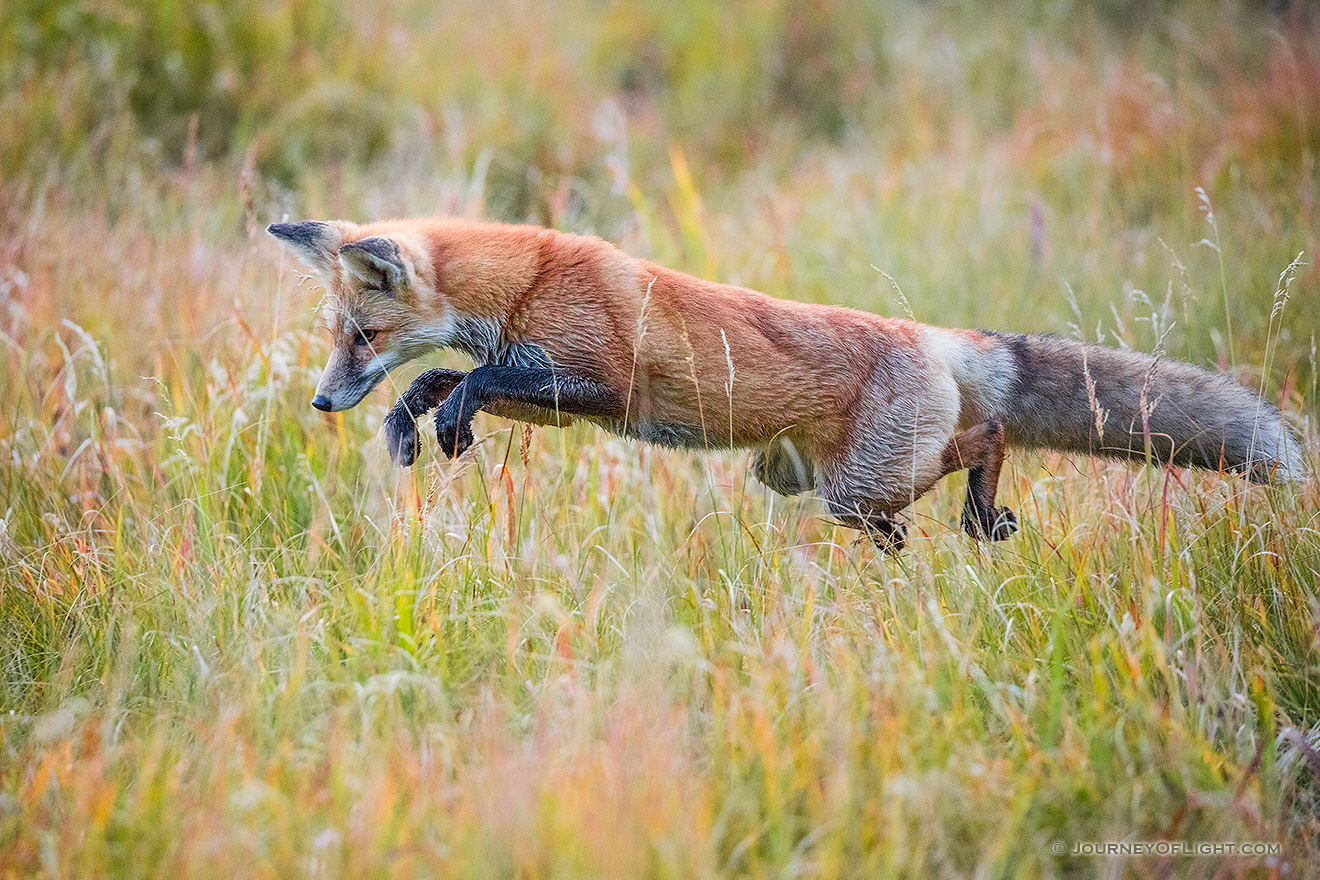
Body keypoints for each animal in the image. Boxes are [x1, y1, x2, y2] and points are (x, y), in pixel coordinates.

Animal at [270, 219, 1309, 551]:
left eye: (362, 337)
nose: (321, 403)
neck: (530, 283)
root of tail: (935, 337)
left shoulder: (602, 387)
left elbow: (473, 373)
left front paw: (440, 419)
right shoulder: (559, 391)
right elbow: (453, 375)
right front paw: (415, 424)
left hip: (854, 485)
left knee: (986, 442)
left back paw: (983, 515)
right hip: (803, 481)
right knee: (917, 505)